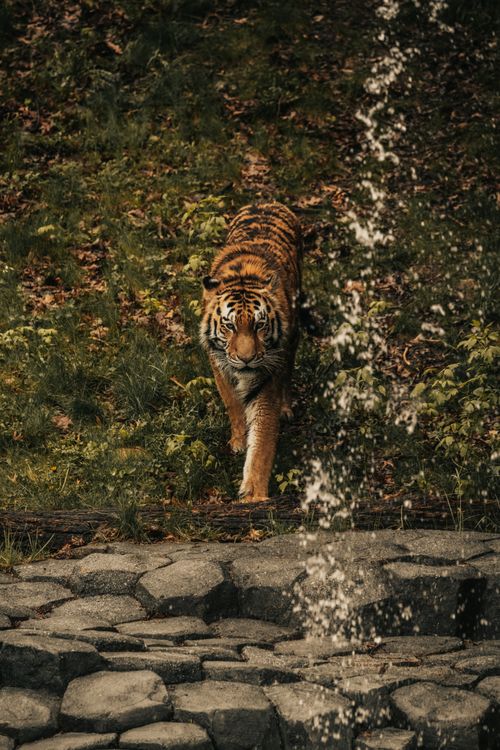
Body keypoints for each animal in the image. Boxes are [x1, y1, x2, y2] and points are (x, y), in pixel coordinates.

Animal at [200, 202, 302, 502]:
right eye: (230, 326)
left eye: (259, 325)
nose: (246, 359)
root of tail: (267, 202)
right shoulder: (219, 365)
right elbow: (233, 404)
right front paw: (238, 441)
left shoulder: (266, 379)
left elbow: (262, 442)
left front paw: (254, 493)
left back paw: (286, 407)